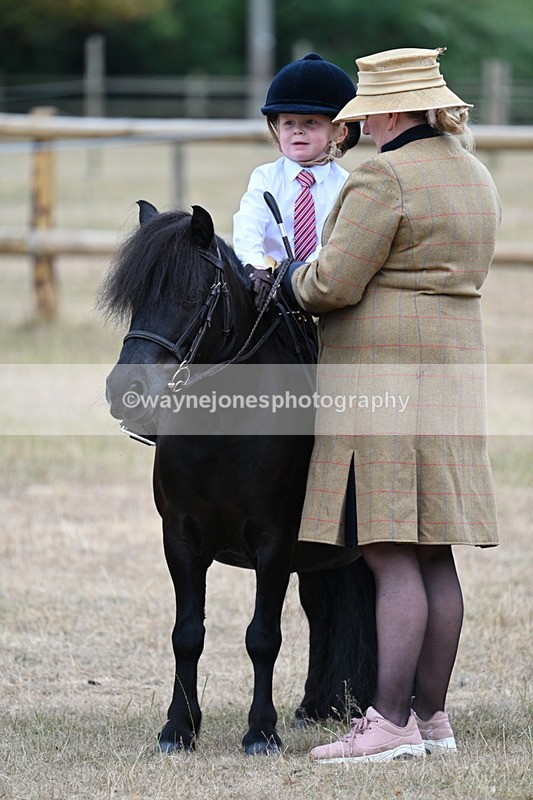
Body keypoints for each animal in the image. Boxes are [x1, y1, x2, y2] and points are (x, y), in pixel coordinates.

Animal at [100, 200, 376, 755]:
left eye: (189, 295)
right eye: (135, 298)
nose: (125, 391)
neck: (224, 436)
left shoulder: (275, 542)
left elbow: (262, 637)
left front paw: (261, 731)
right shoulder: (181, 540)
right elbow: (187, 634)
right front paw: (178, 728)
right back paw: (322, 705)